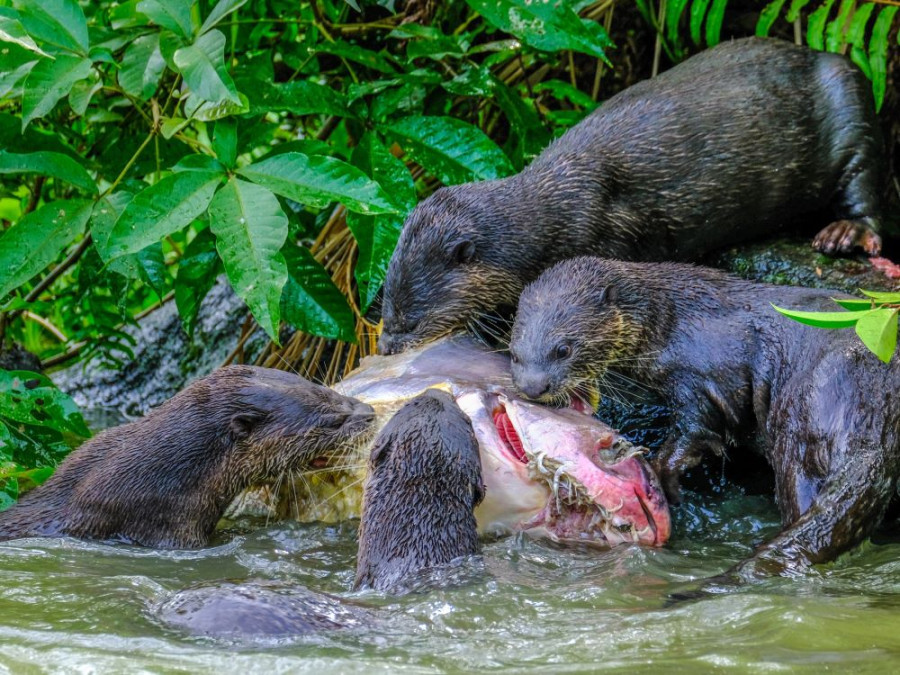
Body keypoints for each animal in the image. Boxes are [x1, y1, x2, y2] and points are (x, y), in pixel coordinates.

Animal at [380, 37, 884, 356]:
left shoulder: (603, 232)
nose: (384, 346)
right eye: (385, 304)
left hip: (852, 101)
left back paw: (845, 234)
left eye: (410, 318)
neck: (550, 214)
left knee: (867, 181)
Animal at [510, 256, 900, 580]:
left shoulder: (704, 382)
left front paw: (668, 485)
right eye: (514, 353)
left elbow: (694, 435)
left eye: (563, 349)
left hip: (801, 427)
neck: (671, 324)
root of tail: (868, 408)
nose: (532, 387)